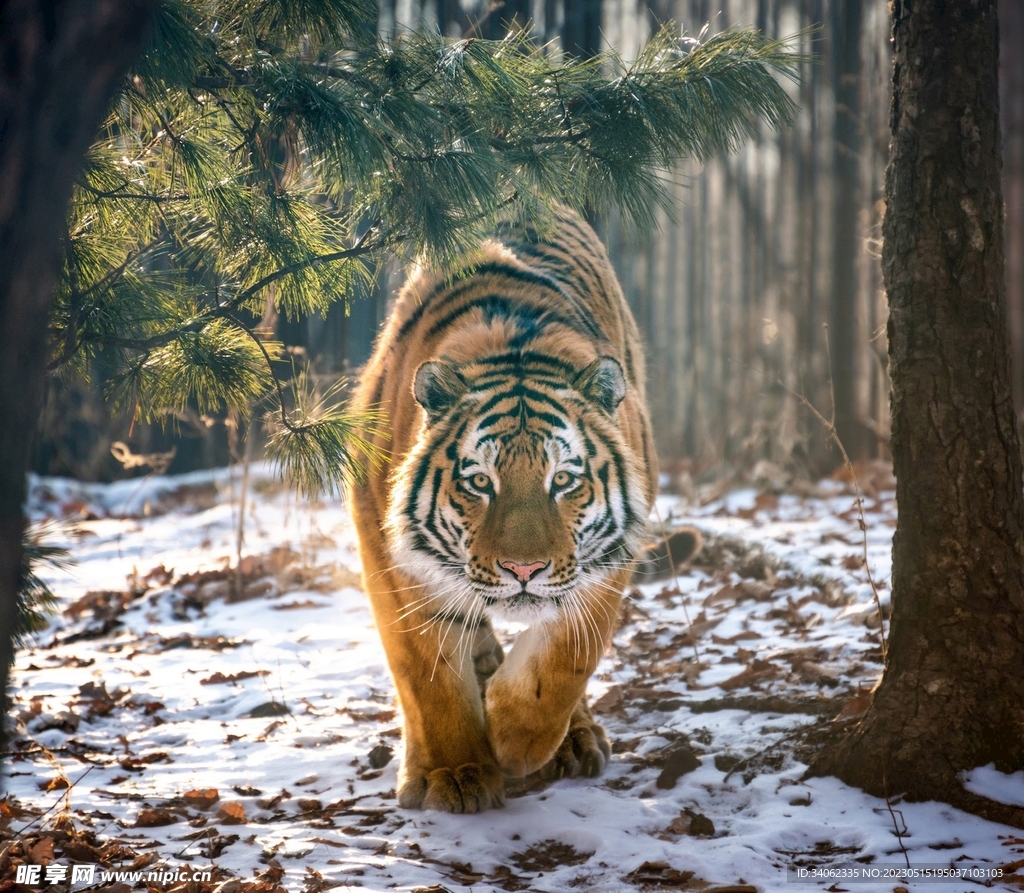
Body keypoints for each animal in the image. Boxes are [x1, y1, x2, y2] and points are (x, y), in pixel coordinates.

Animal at [349, 206, 657, 813]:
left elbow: (563, 664)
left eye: (562, 480)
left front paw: (512, 740)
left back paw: (575, 740)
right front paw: (457, 772)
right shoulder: (387, 551)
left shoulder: (609, 559)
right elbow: (425, 672)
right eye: (479, 482)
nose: (523, 570)